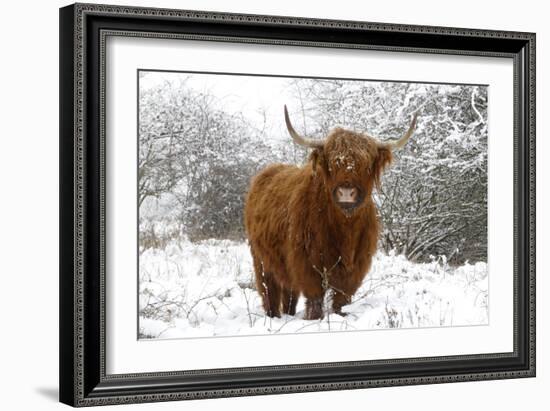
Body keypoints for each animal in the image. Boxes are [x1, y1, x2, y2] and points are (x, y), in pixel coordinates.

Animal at [246, 106, 418, 318]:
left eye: (366, 165)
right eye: (332, 164)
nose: (346, 192)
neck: (345, 229)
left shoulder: (355, 268)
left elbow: (341, 300)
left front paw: (340, 315)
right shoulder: (307, 265)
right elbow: (315, 299)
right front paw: (314, 318)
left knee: (289, 294)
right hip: (261, 260)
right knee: (269, 291)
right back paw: (273, 316)